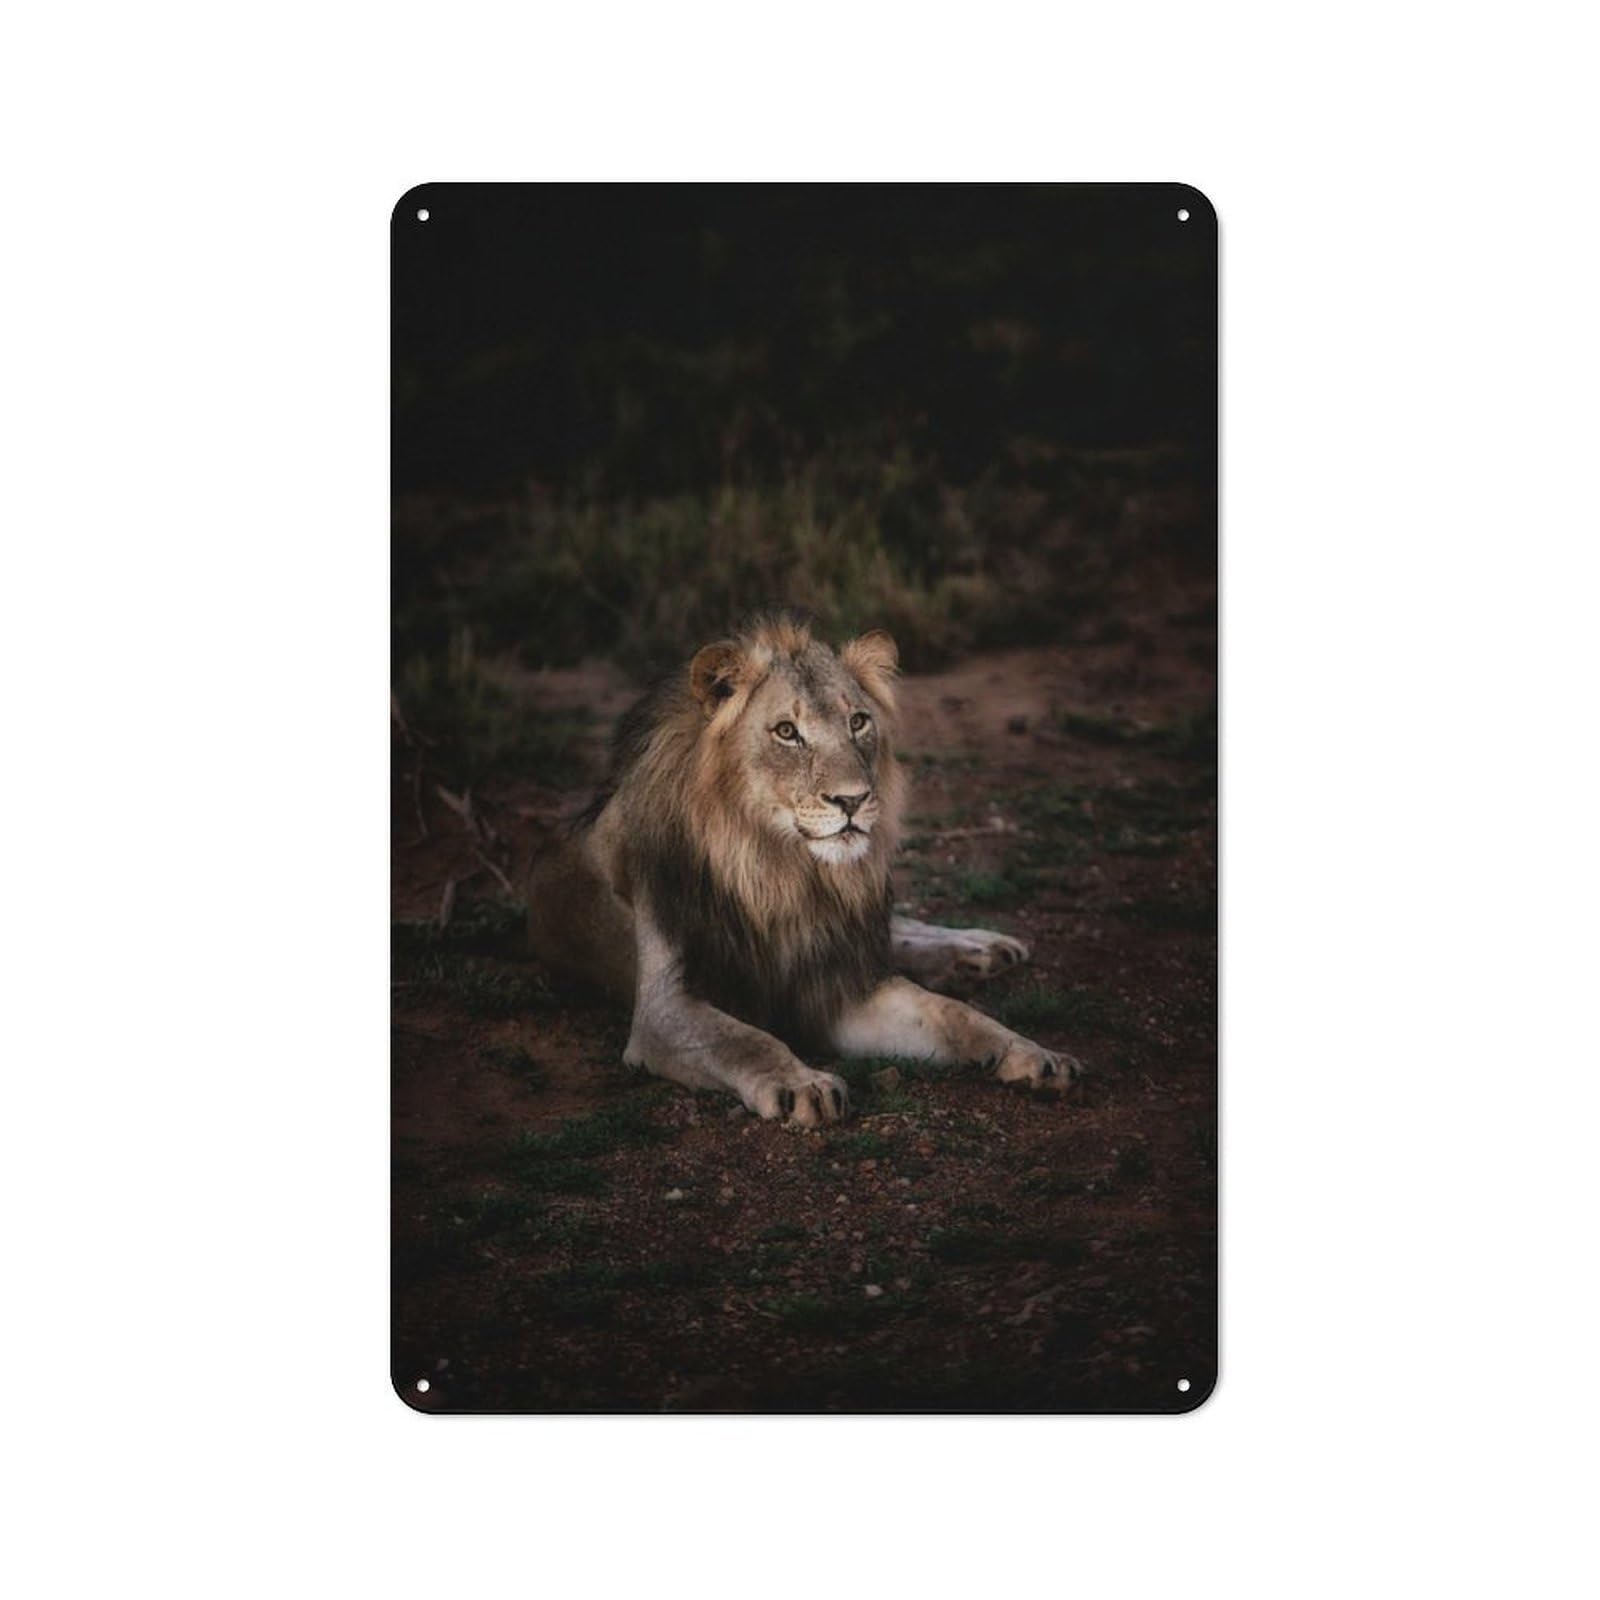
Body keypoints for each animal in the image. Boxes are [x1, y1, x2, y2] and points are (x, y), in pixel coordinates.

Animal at [526, 613, 1083, 1125]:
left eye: (858, 722)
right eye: (787, 732)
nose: (852, 800)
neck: (784, 873)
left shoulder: (838, 984)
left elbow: (953, 1014)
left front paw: (1032, 1053)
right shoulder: (664, 1010)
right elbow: (748, 1040)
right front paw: (805, 1085)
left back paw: (980, 948)